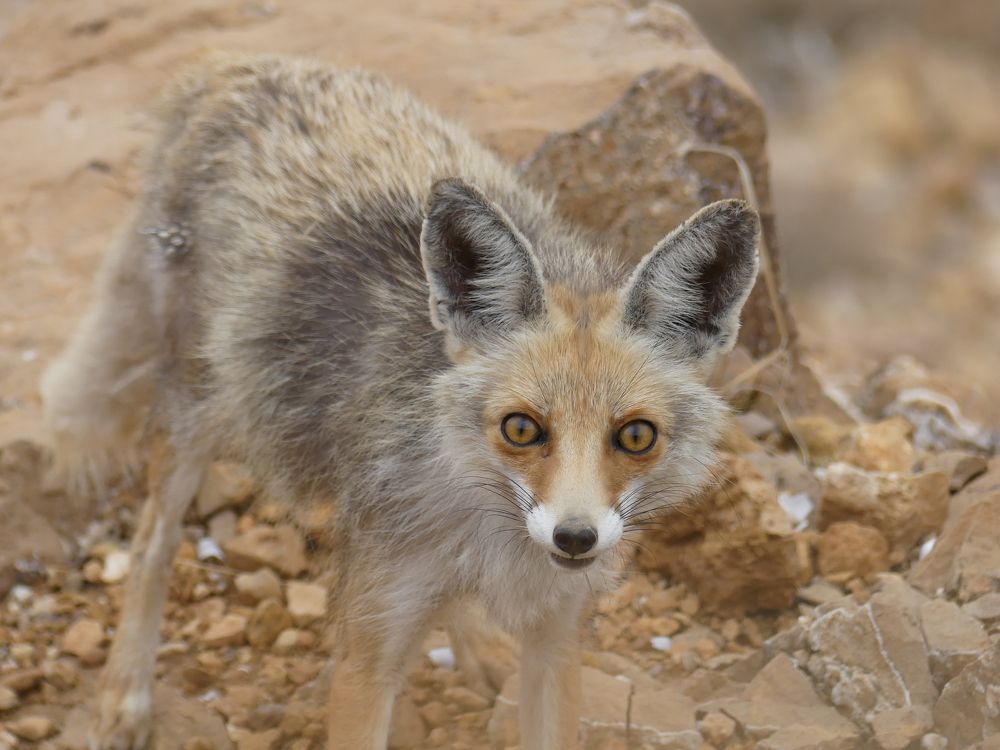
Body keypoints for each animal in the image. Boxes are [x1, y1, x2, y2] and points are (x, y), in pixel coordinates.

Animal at [40, 53, 759, 750]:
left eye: (635, 436)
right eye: (521, 429)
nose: (576, 538)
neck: (485, 531)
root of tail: (233, 66)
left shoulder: (558, 641)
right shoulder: (368, 652)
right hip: (198, 408)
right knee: (151, 545)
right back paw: (125, 695)